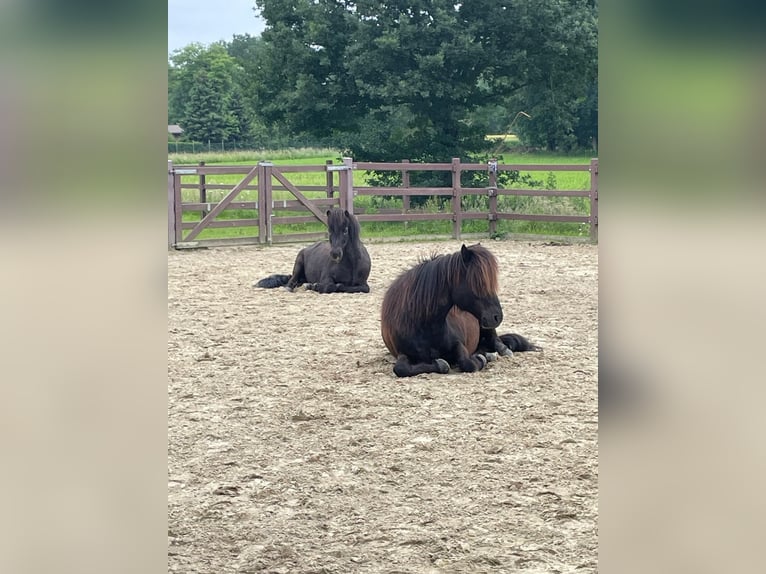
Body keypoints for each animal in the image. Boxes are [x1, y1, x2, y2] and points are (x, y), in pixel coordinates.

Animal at [380, 243, 539, 377]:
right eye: (478, 283)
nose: (497, 316)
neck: (424, 326)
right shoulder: (402, 353)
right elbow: (400, 368)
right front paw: (441, 364)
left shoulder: (459, 344)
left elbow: (467, 363)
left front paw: (480, 359)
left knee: (496, 341)